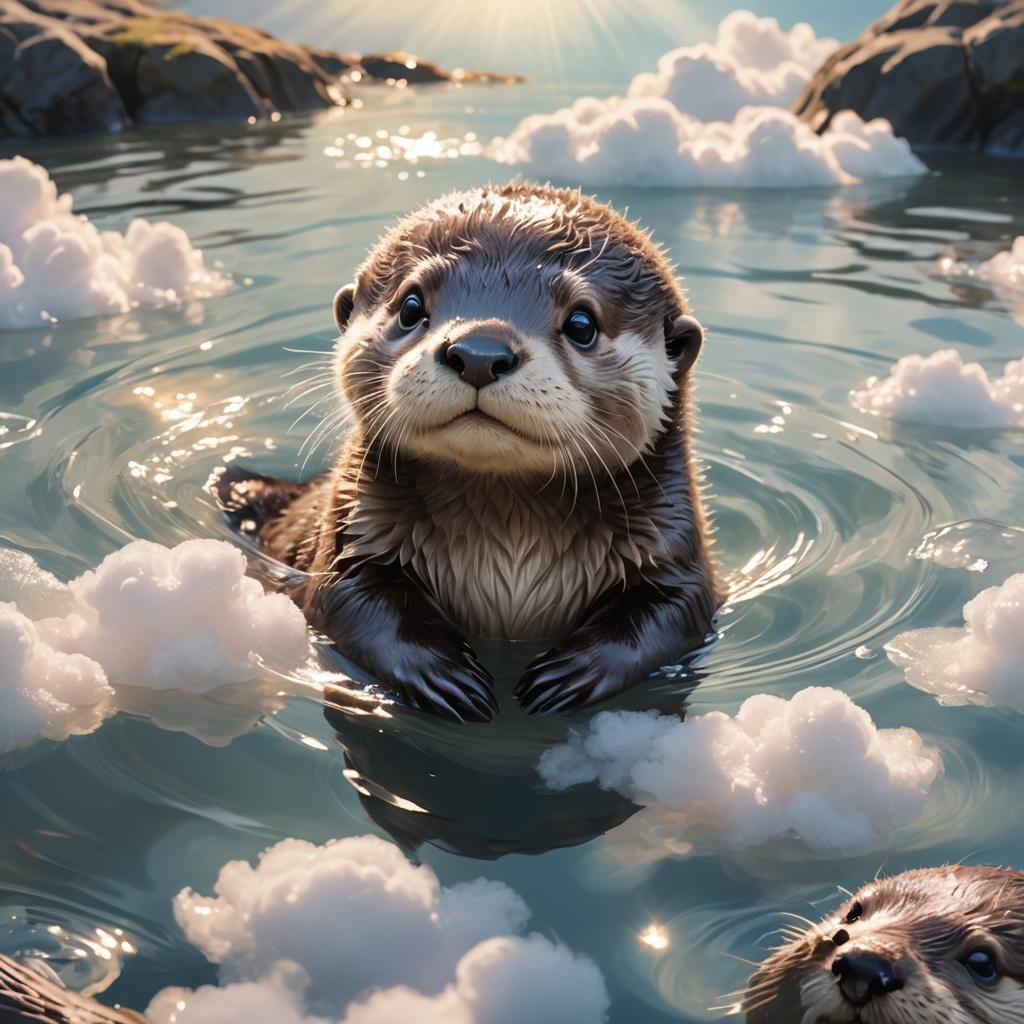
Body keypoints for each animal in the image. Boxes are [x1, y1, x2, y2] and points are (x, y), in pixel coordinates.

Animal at [217, 184, 717, 722]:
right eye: (410, 306)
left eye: (582, 323)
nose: (479, 351)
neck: (509, 540)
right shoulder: (352, 529)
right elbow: (346, 600)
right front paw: (447, 680)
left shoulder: (673, 542)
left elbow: (676, 614)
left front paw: (565, 676)